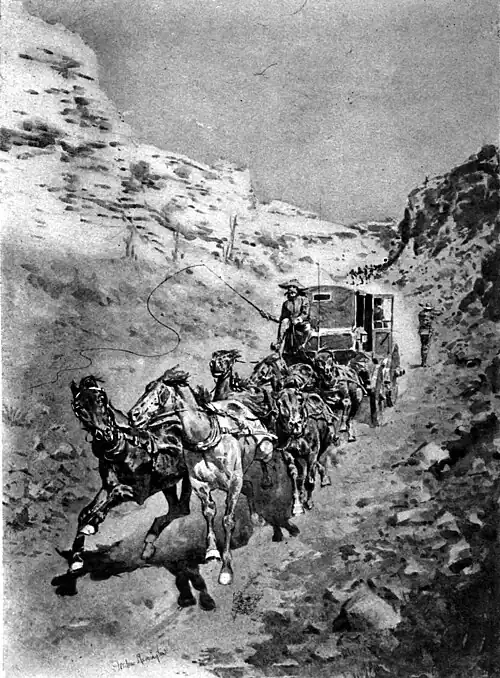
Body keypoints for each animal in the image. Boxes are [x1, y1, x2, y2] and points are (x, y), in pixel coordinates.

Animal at [66, 376, 191, 573]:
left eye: (101, 399)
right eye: (79, 408)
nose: (105, 435)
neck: (125, 448)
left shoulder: (139, 493)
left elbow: (116, 494)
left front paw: (93, 523)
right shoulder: (107, 486)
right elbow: (85, 512)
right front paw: (76, 558)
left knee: (182, 508)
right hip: (168, 483)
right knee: (177, 509)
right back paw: (148, 545)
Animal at [128, 367, 277, 586]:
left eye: (160, 391)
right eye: (147, 387)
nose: (133, 415)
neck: (205, 439)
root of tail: (235, 400)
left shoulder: (233, 482)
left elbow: (228, 520)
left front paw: (226, 569)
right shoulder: (200, 485)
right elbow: (209, 512)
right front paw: (212, 551)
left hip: (263, 450)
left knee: (264, 458)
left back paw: (267, 483)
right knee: (249, 486)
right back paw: (256, 517)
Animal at [275, 387, 338, 516]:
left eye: (299, 400)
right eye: (279, 403)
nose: (295, 424)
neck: (298, 436)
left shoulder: (312, 452)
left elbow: (310, 480)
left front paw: (309, 502)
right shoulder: (288, 453)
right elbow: (294, 478)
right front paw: (297, 506)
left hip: (325, 443)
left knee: (320, 459)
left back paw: (324, 478)